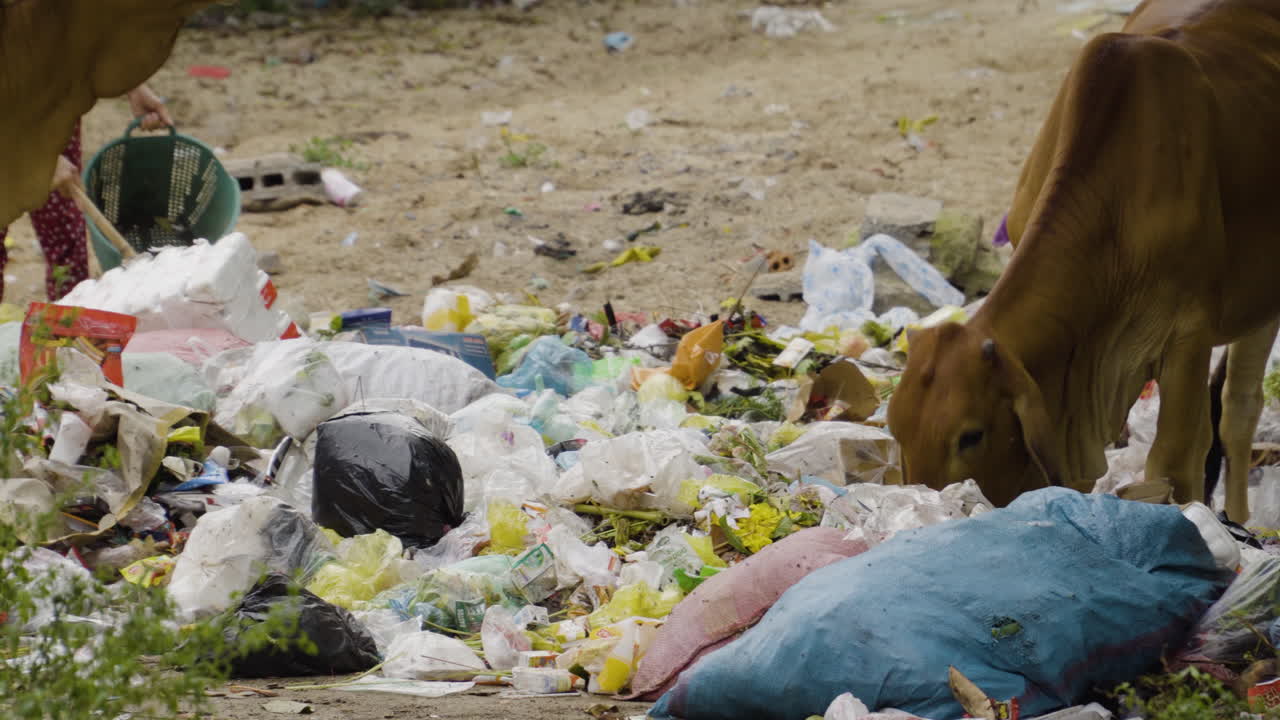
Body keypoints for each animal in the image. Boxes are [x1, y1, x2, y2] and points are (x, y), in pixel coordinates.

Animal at [886, 0, 1280, 522]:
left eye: (971, 435)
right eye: (894, 426)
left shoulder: (1188, 339)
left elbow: (1175, 462)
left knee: (1238, 409)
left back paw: (1238, 520)